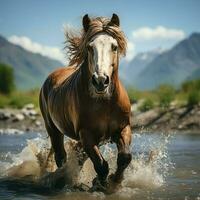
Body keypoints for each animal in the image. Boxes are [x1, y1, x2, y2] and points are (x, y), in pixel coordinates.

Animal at [39, 13, 132, 189]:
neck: (104, 103)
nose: (100, 81)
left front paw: (115, 181)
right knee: (62, 157)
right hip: (54, 130)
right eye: (90, 47)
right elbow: (101, 165)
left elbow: (125, 157)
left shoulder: (123, 127)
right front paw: (101, 183)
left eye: (114, 46)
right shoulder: (87, 134)